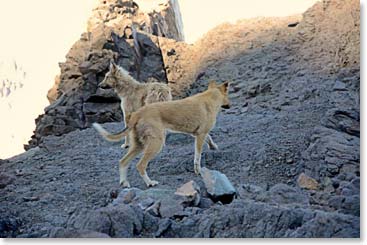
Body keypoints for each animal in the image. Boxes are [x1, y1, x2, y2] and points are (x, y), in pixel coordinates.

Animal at [93, 81, 230, 188]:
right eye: (228, 95)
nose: (230, 105)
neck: (210, 97)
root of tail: (138, 113)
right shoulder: (200, 135)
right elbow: (197, 156)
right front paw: (198, 170)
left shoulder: (198, 133)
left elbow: (209, 138)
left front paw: (214, 147)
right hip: (156, 144)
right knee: (140, 165)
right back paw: (150, 183)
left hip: (138, 145)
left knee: (123, 161)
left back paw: (124, 182)